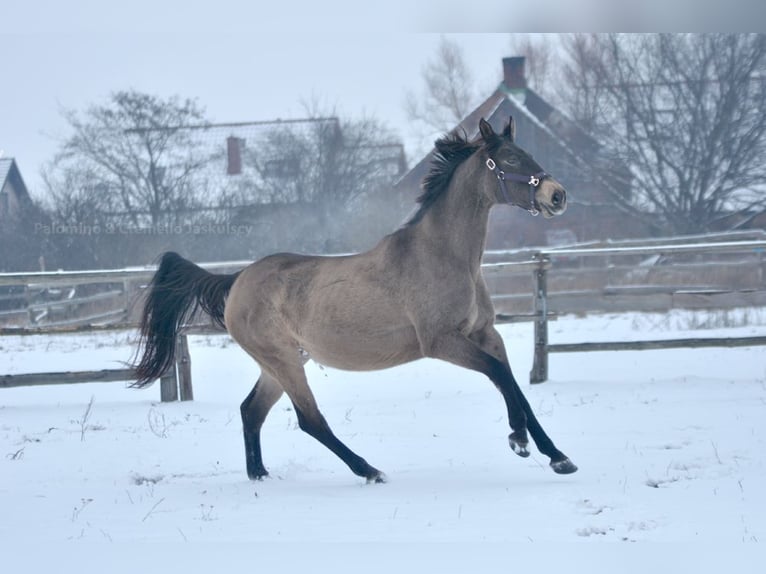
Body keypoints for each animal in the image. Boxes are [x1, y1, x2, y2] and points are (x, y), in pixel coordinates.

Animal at [133, 117, 577, 483]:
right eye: (509, 159)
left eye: (528, 153)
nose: (558, 195)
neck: (443, 255)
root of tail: (238, 279)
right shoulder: (441, 341)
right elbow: (499, 376)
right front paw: (518, 440)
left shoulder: (486, 333)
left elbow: (514, 384)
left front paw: (558, 456)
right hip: (283, 360)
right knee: (310, 420)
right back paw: (370, 470)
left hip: (280, 363)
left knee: (251, 411)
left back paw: (260, 475)